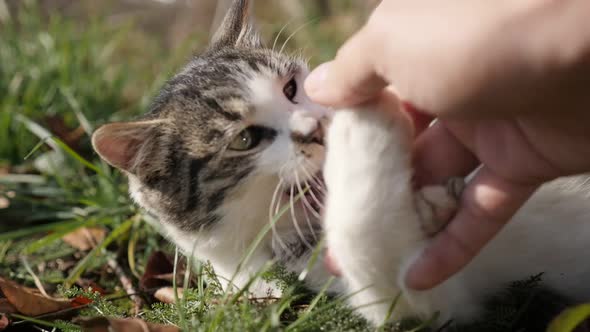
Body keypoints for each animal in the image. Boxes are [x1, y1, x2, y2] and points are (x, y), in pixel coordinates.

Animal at [92, 0, 590, 326]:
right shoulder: (422, 299)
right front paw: (363, 125)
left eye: (291, 88)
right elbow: (373, 252)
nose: (314, 126)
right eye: (246, 139)